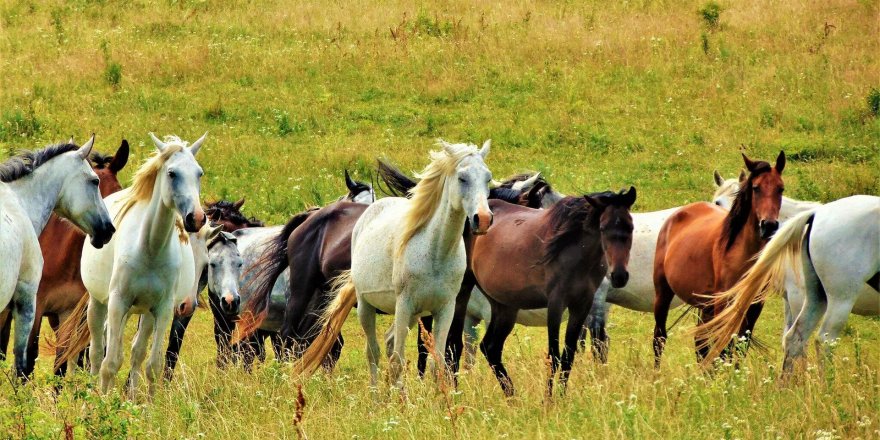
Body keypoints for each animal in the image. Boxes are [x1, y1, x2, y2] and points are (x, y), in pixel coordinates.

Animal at [69, 131, 208, 396]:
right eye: (172, 173)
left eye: (199, 173)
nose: (195, 218)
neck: (150, 249)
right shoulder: (117, 303)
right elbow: (110, 363)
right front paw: (102, 402)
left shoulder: (163, 309)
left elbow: (152, 365)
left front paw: (147, 406)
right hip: (99, 304)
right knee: (96, 353)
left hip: (145, 314)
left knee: (136, 354)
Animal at [294, 140, 492, 388]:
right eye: (462, 178)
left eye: (488, 178)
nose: (483, 219)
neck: (435, 252)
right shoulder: (404, 305)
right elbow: (398, 361)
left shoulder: (445, 308)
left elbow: (437, 363)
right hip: (367, 307)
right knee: (374, 352)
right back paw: (376, 394)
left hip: (413, 314)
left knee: (387, 344)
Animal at [470, 189, 636, 396]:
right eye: (603, 227)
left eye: (631, 226)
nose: (619, 276)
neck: (574, 254)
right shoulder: (556, 303)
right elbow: (554, 356)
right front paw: (548, 399)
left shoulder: (582, 305)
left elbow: (568, 355)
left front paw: (562, 396)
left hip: (504, 306)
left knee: (490, 347)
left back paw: (512, 397)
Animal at [648, 153, 788, 366]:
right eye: (756, 188)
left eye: (780, 188)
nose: (769, 225)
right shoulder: (724, 303)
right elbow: (724, 347)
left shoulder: (754, 305)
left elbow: (740, 345)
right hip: (663, 293)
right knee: (660, 337)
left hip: (705, 305)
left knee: (701, 343)